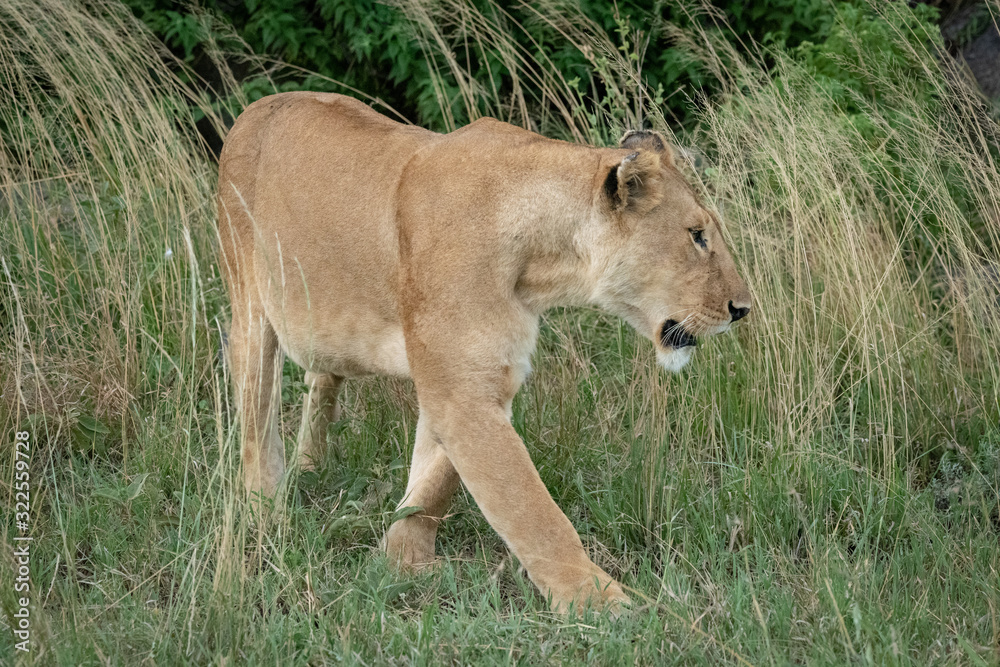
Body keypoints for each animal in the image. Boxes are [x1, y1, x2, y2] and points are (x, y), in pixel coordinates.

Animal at [217, 92, 751, 615]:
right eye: (697, 235)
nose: (742, 308)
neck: (545, 264)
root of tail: (256, 107)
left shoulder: (485, 378)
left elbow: (436, 481)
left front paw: (403, 559)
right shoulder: (461, 393)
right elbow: (530, 508)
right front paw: (600, 603)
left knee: (322, 377)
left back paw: (310, 467)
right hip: (250, 306)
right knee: (256, 417)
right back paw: (268, 515)